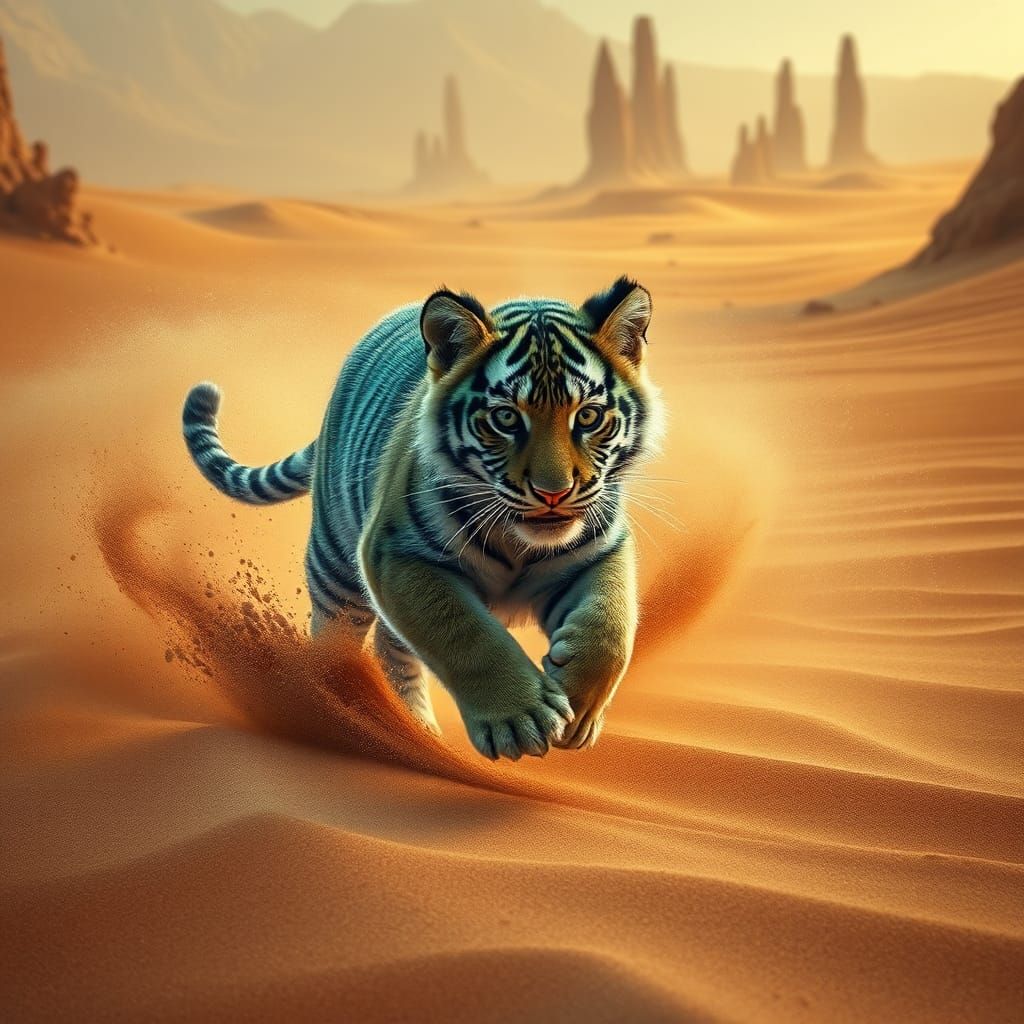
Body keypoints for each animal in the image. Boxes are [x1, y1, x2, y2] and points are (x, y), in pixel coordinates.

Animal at [182, 276, 662, 761]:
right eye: (506, 418)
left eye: (588, 416)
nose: (553, 492)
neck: (520, 542)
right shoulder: (397, 554)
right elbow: (463, 632)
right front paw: (520, 718)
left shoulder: (601, 550)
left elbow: (612, 623)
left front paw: (579, 708)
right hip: (334, 565)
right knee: (336, 639)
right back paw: (340, 710)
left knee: (390, 646)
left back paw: (416, 732)